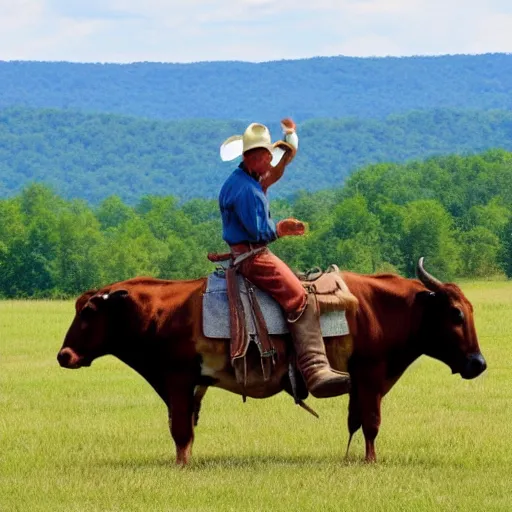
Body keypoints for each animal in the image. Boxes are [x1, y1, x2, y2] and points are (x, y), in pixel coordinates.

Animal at [58, 258, 486, 466]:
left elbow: (365, 424)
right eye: (456, 313)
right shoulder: (180, 382)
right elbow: (182, 431)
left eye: (88, 312)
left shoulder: (366, 379)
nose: (478, 363)